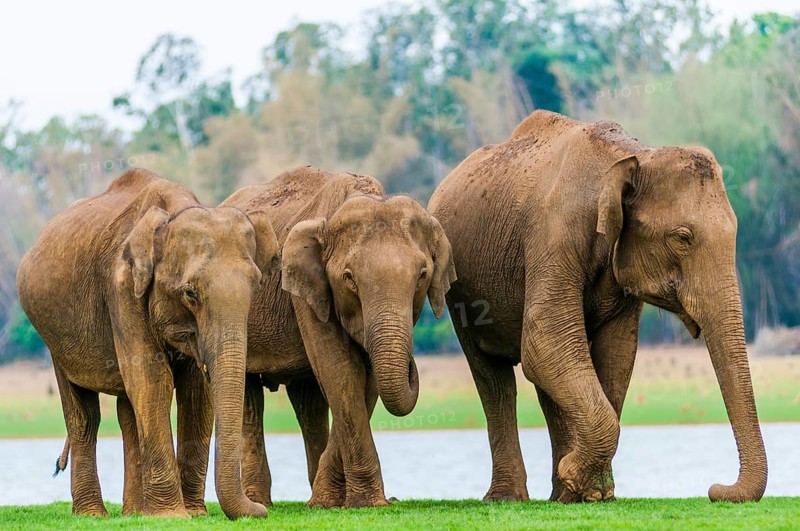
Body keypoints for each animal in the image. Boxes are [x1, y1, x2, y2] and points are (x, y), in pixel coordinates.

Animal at [16, 168, 280, 519]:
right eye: (190, 293)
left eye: (255, 288)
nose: (260, 509)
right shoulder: (122, 290)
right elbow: (153, 380)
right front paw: (173, 516)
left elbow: (196, 391)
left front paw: (194, 514)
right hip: (53, 336)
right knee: (84, 415)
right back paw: (93, 514)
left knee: (127, 409)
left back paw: (133, 513)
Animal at [212, 166, 456, 508]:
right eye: (349, 278)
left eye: (422, 275)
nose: (414, 362)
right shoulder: (305, 292)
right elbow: (341, 369)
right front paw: (362, 503)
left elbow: (364, 379)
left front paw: (332, 501)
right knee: (250, 396)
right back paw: (261, 503)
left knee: (308, 401)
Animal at [428, 110, 767, 504]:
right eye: (682, 238)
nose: (715, 488)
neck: (634, 156)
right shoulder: (553, 236)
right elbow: (545, 342)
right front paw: (578, 477)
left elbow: (615, 355)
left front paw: (591, 491)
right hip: (458, 289)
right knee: (494, 378)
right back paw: (508, 497)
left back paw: (560, 496)